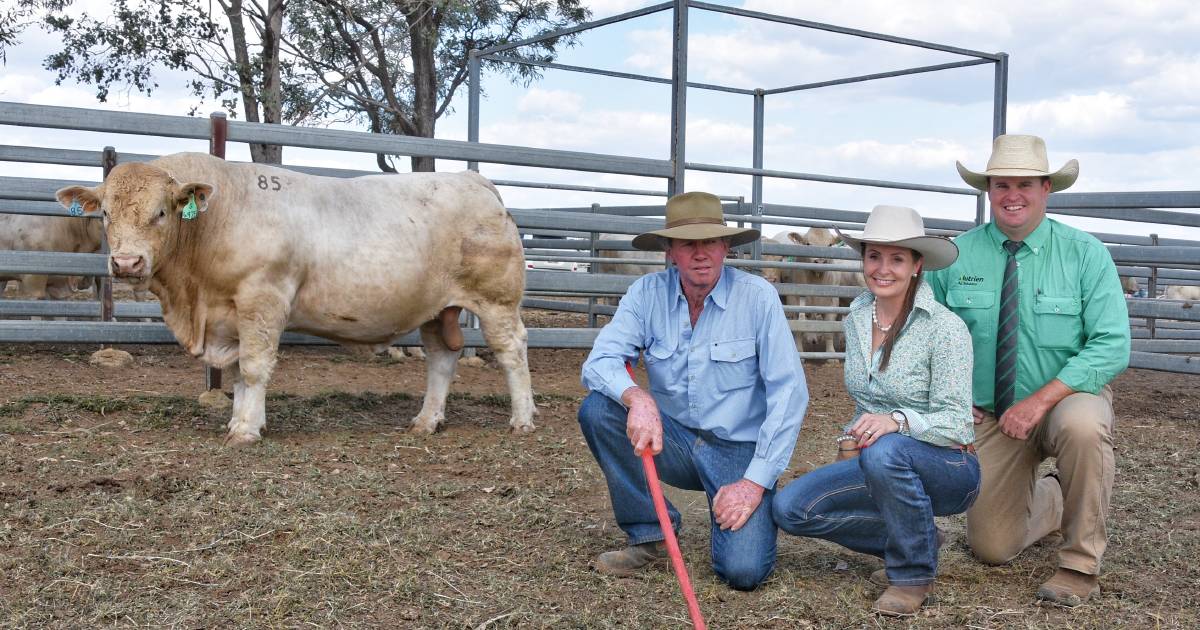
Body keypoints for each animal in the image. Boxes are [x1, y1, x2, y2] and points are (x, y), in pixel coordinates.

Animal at [55, 153, 535, 444]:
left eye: (160, 212)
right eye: (105, 213)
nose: (127, 263)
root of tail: (473, 179)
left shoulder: (261, 300)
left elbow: (254, 368)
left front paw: (246, 431)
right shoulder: (231, 315)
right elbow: (237, 374)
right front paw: (240, 419)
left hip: (497, 300)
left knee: (512, 351)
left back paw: (522, 419)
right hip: (438, 308)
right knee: (441, 358)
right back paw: (425, 421)